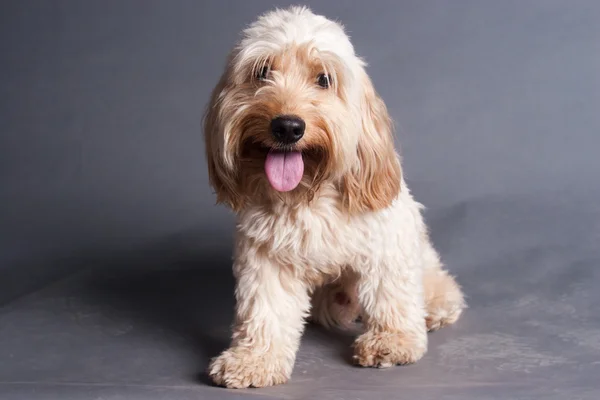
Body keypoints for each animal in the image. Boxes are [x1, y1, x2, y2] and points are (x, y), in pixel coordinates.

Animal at [202, 5, 464, 388]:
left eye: (324, 79)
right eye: (262, 72)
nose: (287, 126)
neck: (308, 192)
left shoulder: (387, 242)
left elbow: (391, 293)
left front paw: (392, 340)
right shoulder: (266, 257)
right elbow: (264, 310)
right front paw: (254, 360)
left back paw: (435, 306)